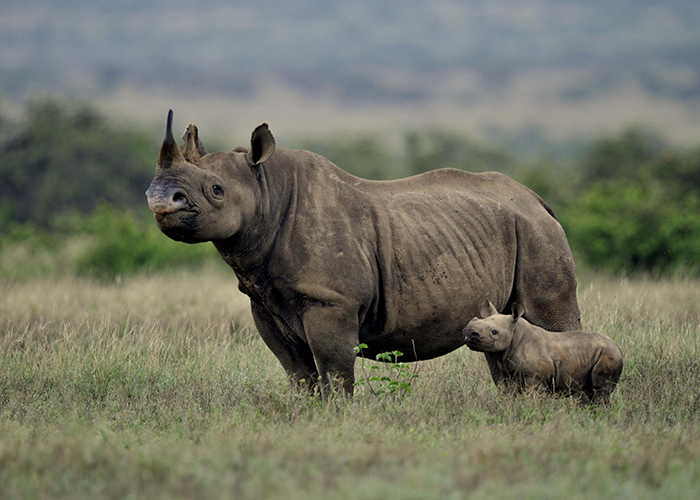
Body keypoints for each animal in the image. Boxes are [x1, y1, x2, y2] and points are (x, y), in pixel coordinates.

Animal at [146, 110, 582, 395]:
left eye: (216, 190)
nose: (159, 197)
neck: (266, 190)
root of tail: (537, 201)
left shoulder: (332, 302)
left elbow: (335, 373)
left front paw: (333, 422)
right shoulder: (264, 302)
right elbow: (298, 374)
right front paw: (305, 417)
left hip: (538, 235)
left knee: (550, 318)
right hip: (516, 229)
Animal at [463, 301, 623, 404]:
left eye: (494, 332)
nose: (468, 332)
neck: (516, 333)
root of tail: (617, 347)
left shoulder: (536, 377)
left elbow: (532, 397)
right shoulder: (511, 373)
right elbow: (512, 393)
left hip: (608, 355)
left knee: (600, 391)